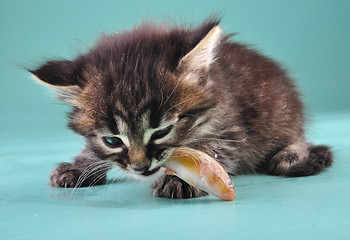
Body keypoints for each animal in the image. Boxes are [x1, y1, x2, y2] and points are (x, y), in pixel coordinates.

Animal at [28, 18, 332, 199]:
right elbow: (91, 150)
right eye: (113, 141)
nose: (140, 167)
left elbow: (212, 150)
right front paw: (79, 166)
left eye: (162, 132)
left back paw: (290, 154)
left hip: (281, 115)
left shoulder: (233, 129)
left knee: (297, 138)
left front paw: (186, 180)